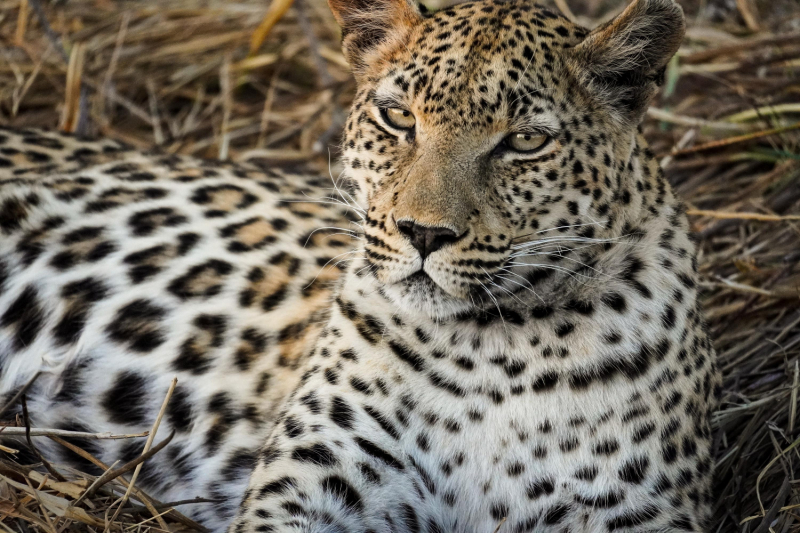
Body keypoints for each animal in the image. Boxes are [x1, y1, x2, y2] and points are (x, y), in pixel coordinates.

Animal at [0, 0, 720, 528]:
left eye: (524, 142)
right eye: (397, 116)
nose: (423, 233)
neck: (494, 352)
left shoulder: (633, 512)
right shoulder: (320, 476)